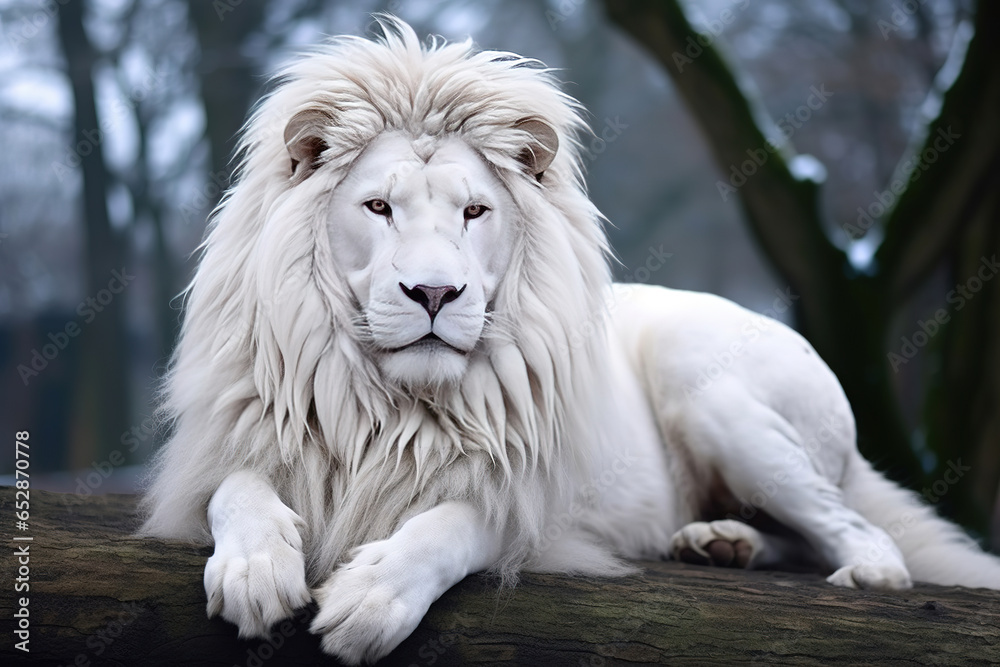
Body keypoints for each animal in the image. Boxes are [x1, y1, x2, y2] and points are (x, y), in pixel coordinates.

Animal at [141, 17, 1000, 664]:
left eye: (475, 211)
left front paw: (371, 597)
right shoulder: (236, 442)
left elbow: (454, 523)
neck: (391, 403)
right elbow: (237, 487)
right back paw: (719, 541)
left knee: (863, 534)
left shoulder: (530, 501)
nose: (434, 293)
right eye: (378, 206)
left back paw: (846, 568)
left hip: (711, 388)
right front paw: (255, 570)